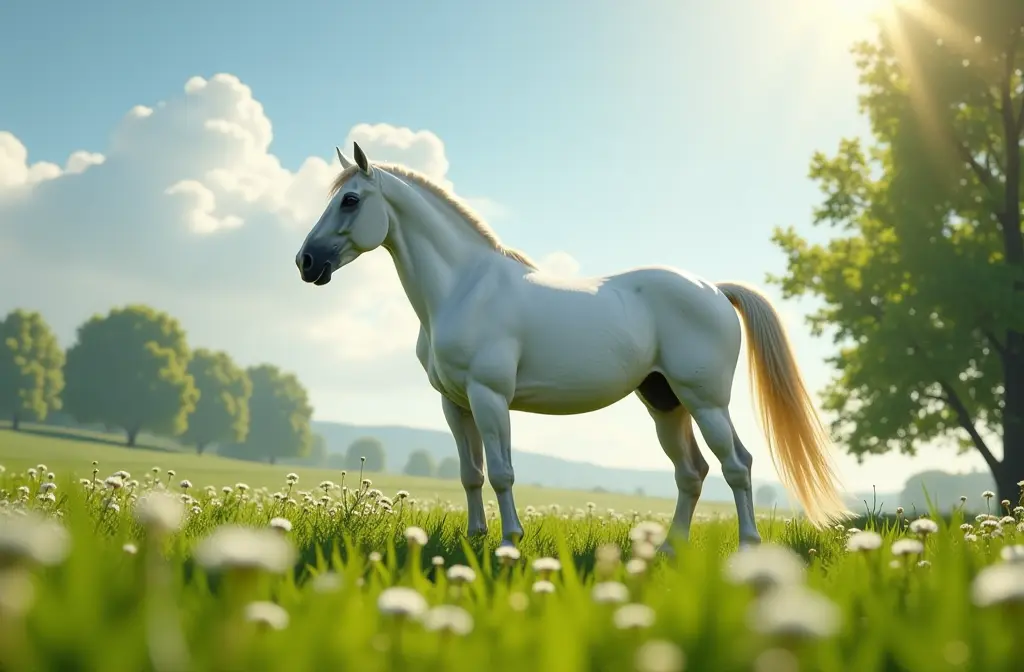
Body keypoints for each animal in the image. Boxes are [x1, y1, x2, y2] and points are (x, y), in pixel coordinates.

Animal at [295, 142, 851, 549]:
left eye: (350, 200)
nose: (305, 262)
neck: (465, 288)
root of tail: (713, 289)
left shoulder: (490, 397)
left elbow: (502, 473)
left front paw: (510, 542)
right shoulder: (455, 404)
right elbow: (471, 474)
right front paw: (475, 540)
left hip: (706, 402)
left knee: (738, 465)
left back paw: (747, 546)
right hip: (665, 403)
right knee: (691, 473)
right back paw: (668, 550)